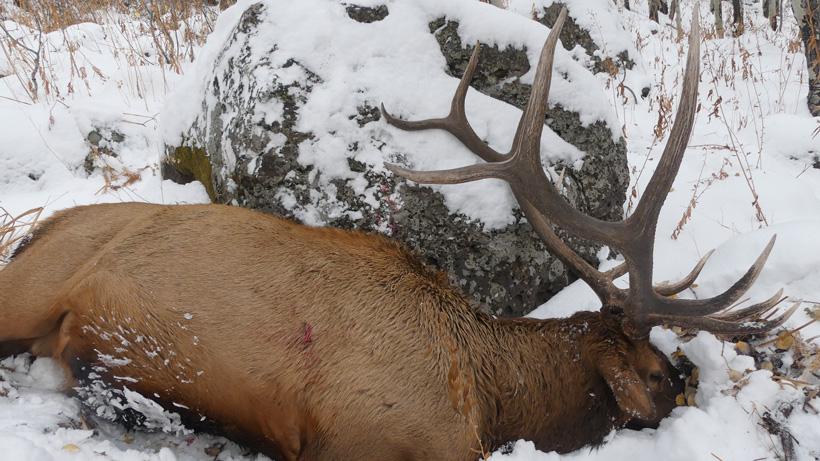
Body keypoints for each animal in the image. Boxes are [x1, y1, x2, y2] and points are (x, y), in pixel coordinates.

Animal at [0, 9, 796, 461]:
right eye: (657, 374)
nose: (689, 379)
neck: (491, 396)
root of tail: (39, 232)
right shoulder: (387, 432)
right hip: (31, 288)